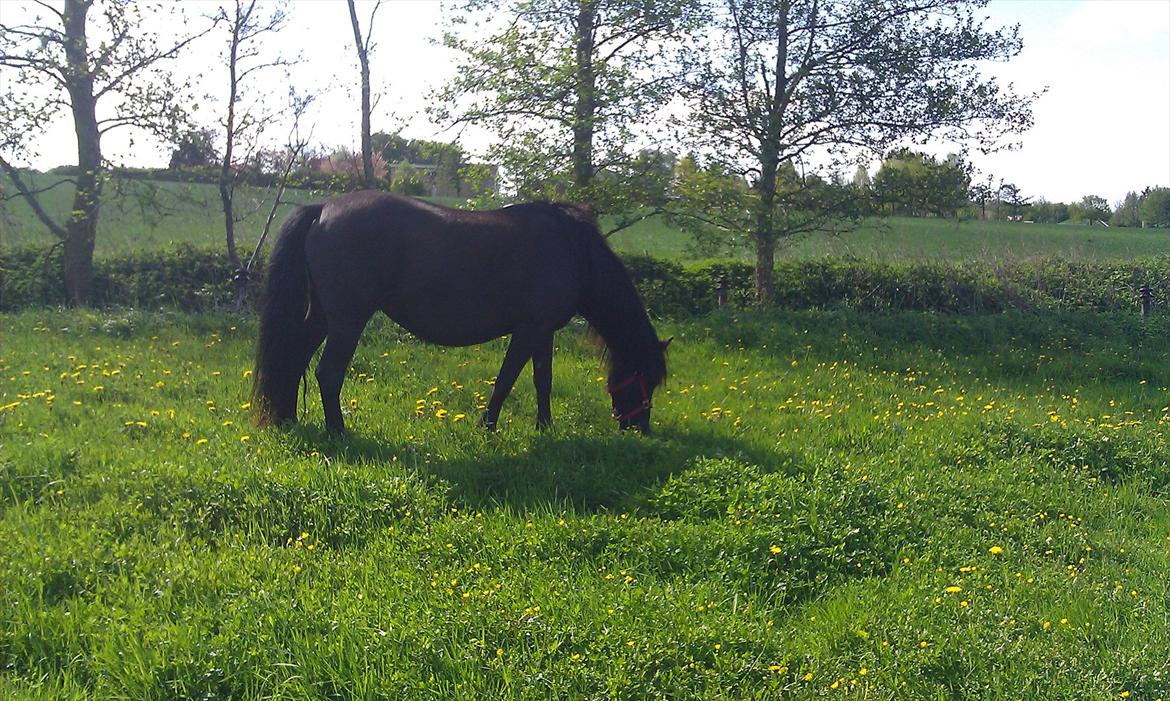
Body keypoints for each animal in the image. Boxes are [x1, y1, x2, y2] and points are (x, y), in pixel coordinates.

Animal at [249, 191, 669, 433]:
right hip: (347, 321)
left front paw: (544, 427)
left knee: (293, 357)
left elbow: (542, 381)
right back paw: (338, 432)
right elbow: (506, 381)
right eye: (645, 377)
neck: (572, 249)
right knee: (328, 373)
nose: (638, 428)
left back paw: (288, 418)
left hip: (322, 318)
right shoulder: (529, 330)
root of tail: (323, 209)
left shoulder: (543, 332)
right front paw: (489, 426)